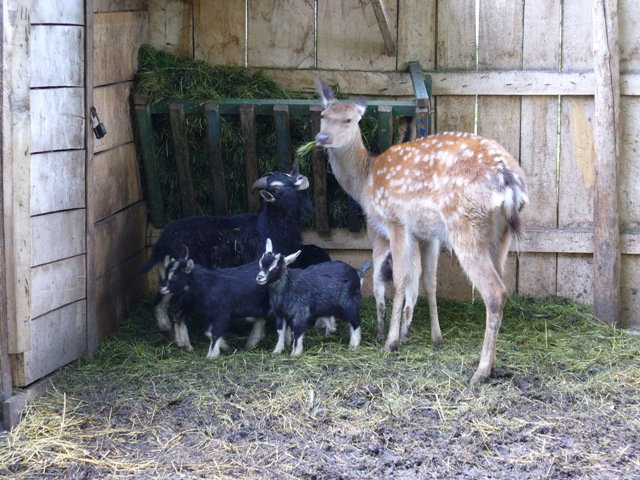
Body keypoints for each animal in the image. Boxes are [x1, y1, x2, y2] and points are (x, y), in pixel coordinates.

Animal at [316, 79, 528, 386]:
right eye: (322, 115)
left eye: (349, 119)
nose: (322, 138)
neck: (366, 179)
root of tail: (510, 183)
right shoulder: (427, 234)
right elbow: (428, 280)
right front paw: (433, 337)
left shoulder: (394, 221)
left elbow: (397, 279)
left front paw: (390, 340)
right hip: (501, 235)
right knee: (501, 282)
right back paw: (493, 364)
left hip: (465, 226)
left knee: (495, 291)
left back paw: (480, 372)